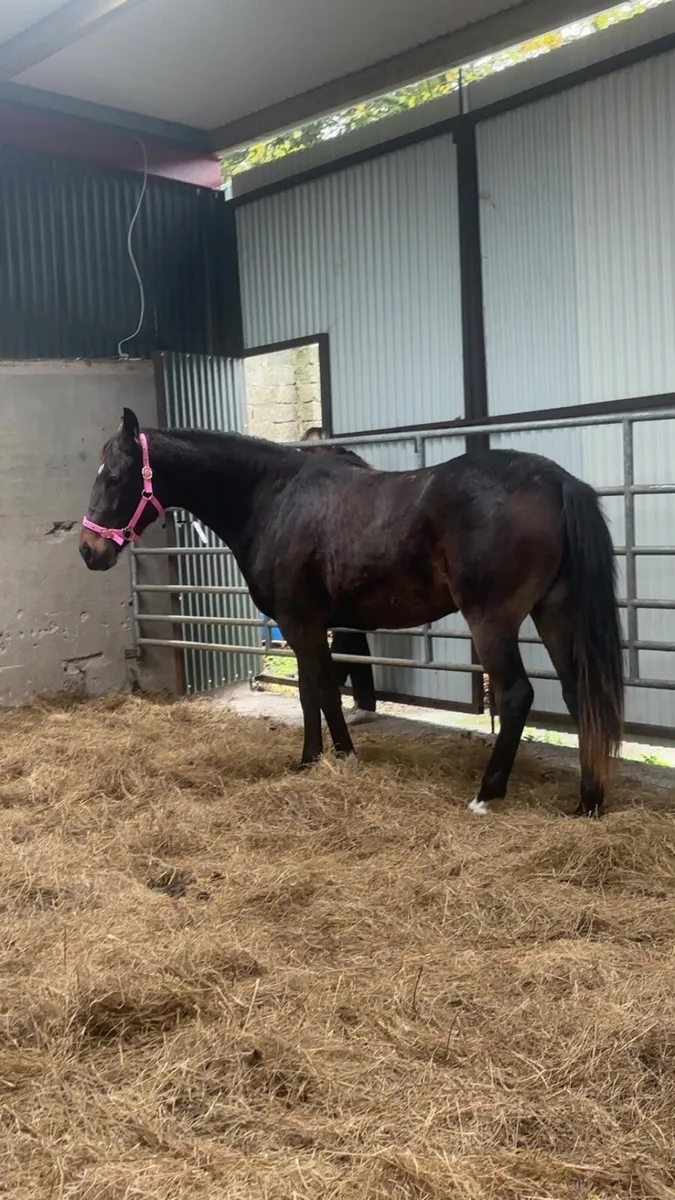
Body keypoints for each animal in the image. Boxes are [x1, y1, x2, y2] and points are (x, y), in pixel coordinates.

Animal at [80, 408, 623, 817]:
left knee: (516, 696)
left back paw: (486, 794)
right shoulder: (321, 624)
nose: (89, 551)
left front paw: (325, 757)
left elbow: (316, 690)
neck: (274, 497)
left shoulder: (300, 622)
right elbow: (318, 689)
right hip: (554, 613)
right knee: (580, 694)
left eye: (114, 476)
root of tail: (556, 481)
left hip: (492, 620)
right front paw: (329, 757)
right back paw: (588, 802)